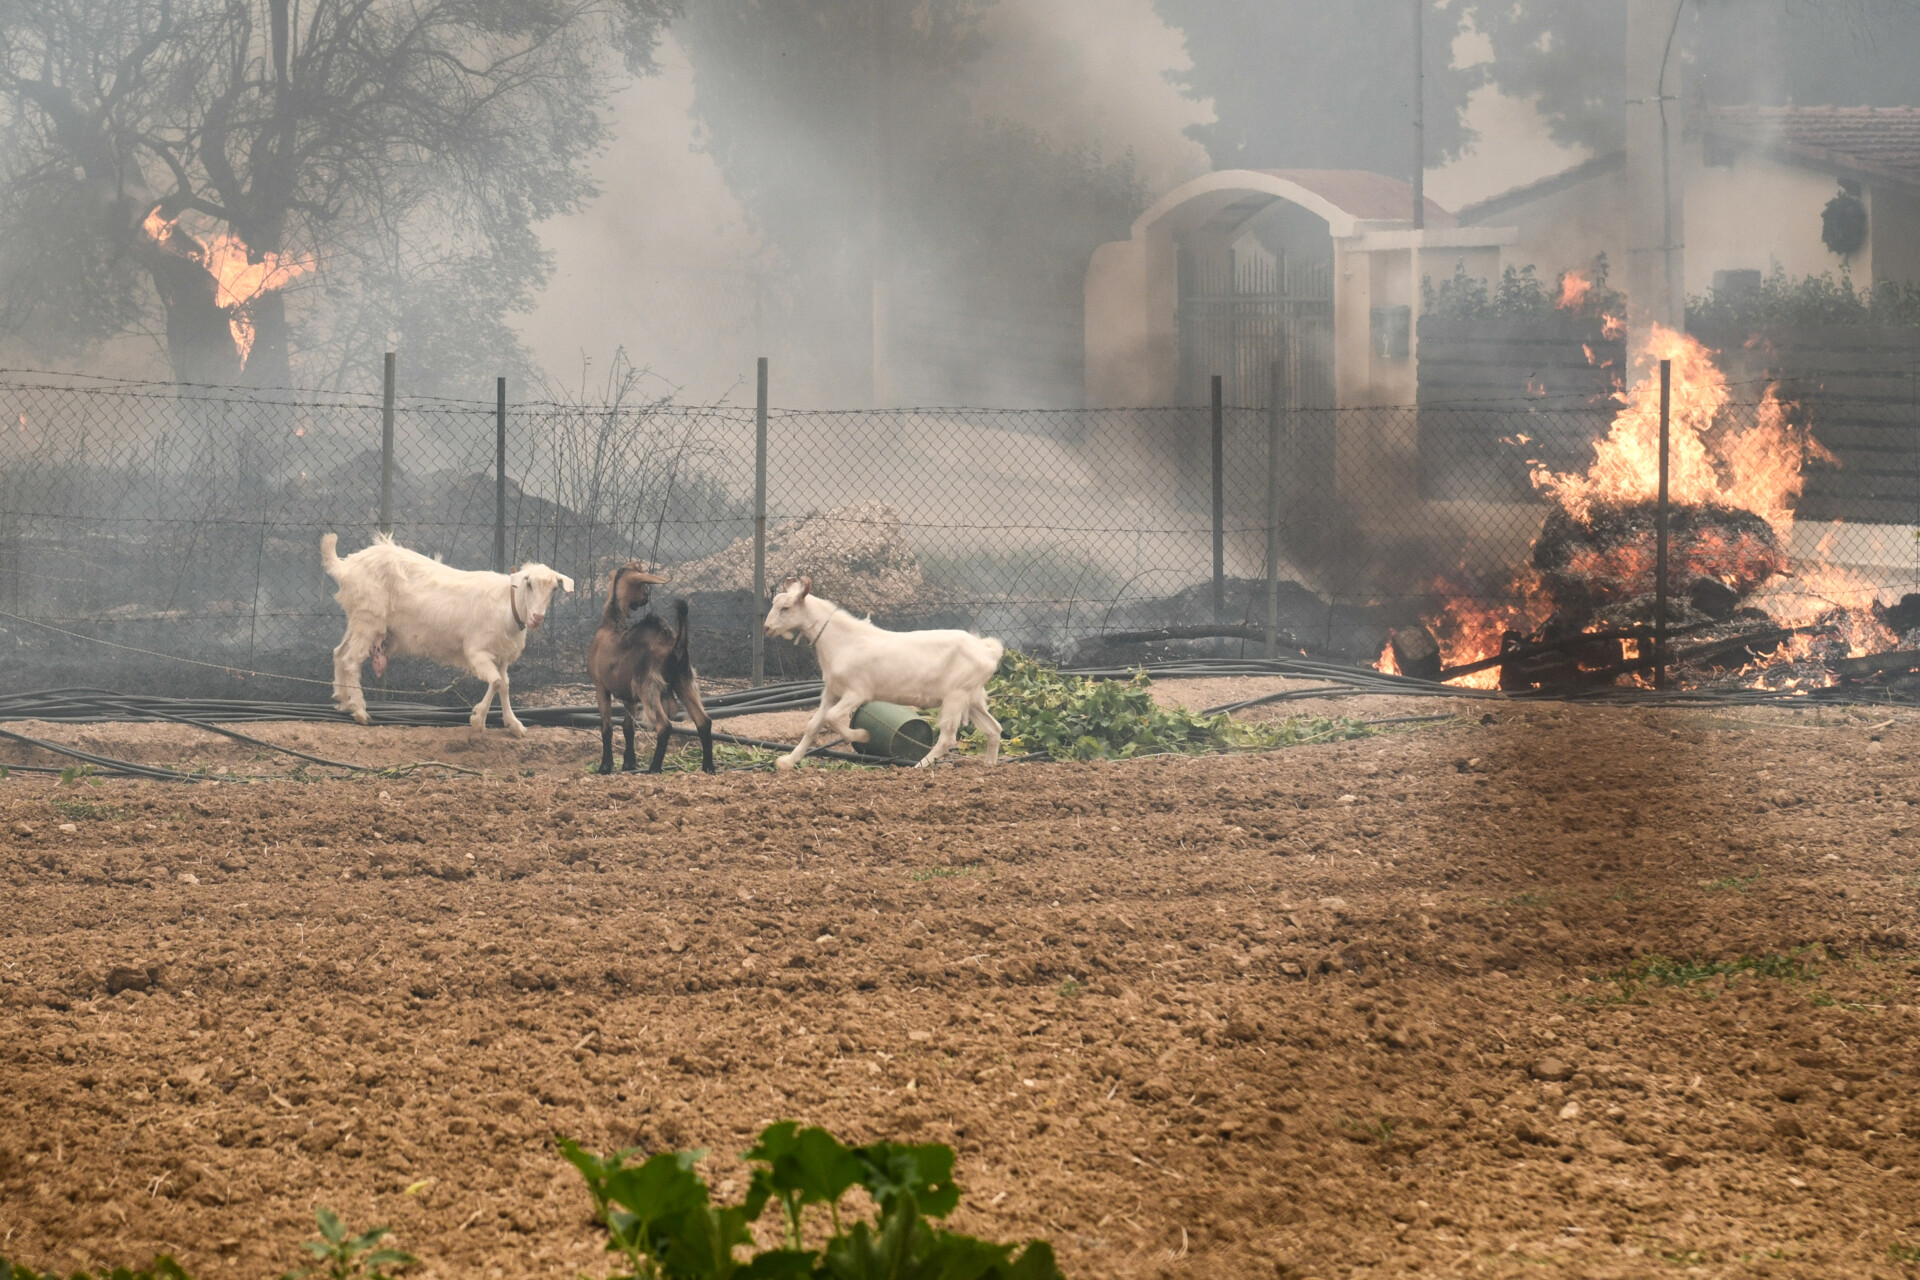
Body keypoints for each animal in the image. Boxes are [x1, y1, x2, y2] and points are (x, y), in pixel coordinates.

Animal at [322, 529, 572, 729]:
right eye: (529, 584)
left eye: (554, 589)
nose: (537, 618)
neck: (508, 607)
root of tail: (345, 567)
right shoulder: (477, 652)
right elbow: (497, 682)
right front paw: (478, 718)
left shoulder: (501, 657)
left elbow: (505, 686)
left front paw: (514, 724)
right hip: (369, 617)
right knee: (351, 660)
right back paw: (359, 711)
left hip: (359, 619)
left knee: (339, 652)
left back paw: (343, 702)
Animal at [583, 564, 714, 775]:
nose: (645, 598)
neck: (611, 623)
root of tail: (675, 645)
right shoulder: (629, 697)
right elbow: (628, 727)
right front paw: (629, 764)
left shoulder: (601, 688)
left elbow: (607, 727)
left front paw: (605, 766)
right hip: (684, 682)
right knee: (704, 721)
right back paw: (708, 767)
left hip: (649, 688)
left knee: (664, 725)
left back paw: (654, 768)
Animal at [760, 579, 1006, 771]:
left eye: (786, 607)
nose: (767, 628)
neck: (842, 641)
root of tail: (986, 650)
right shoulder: (832, 692)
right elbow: (813, 724)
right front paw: (787, 761)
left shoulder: (856, 692)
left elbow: (832, 717)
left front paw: (863, 736)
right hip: (972, 697)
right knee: (994, 729)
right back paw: (990, 766)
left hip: (956, 696)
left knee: (947, 738)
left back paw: (918, 767)